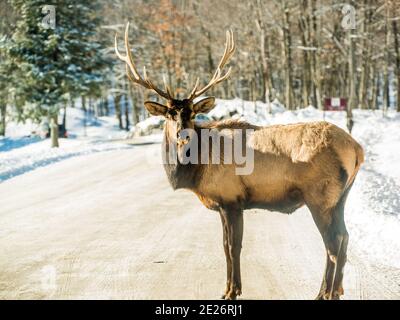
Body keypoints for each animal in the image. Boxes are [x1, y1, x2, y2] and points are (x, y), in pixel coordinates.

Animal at [114, 23, 364, 300]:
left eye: (192, 113)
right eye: (169, 113)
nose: (182, 134)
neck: (197, 170)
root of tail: (357, 148)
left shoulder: (231, 199)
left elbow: (233, 247)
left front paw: (232, 291)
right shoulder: (225, 204)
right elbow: (225, 246)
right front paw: (228, 289)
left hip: (321, 197)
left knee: (333, 243)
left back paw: (329, 293)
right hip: (341, 197)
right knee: (344, 237)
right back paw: (328, 291)